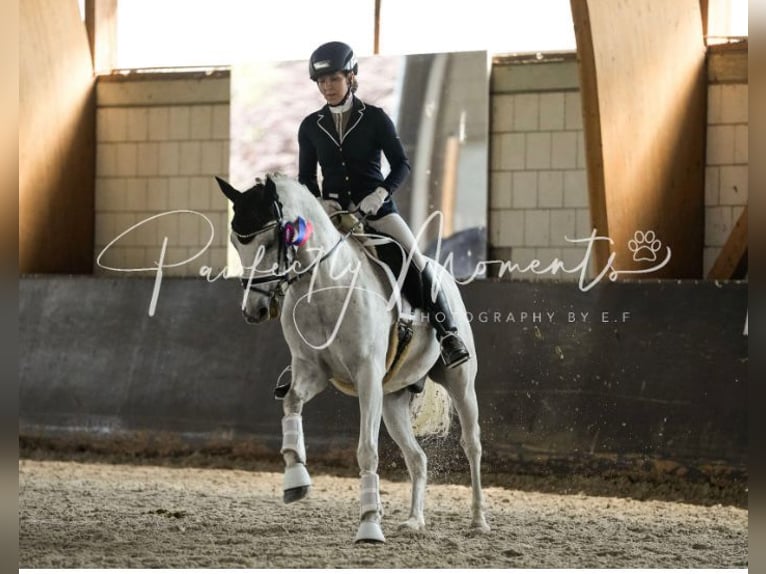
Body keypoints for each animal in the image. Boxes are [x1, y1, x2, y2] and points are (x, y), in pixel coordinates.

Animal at [216, 174, 492, 544]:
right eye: (235, 240)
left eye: (270, 238)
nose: (254, 311)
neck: (325, 284)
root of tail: (445, 274)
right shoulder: (312, 370)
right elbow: (290, 405)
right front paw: (295, 481)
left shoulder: (367, 377)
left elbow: (367, 450)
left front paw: (370, 525)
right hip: (392, 399)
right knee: (417, 458)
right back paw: (414, 521)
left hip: (459, 381)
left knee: (471, 444)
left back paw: (478, 521)